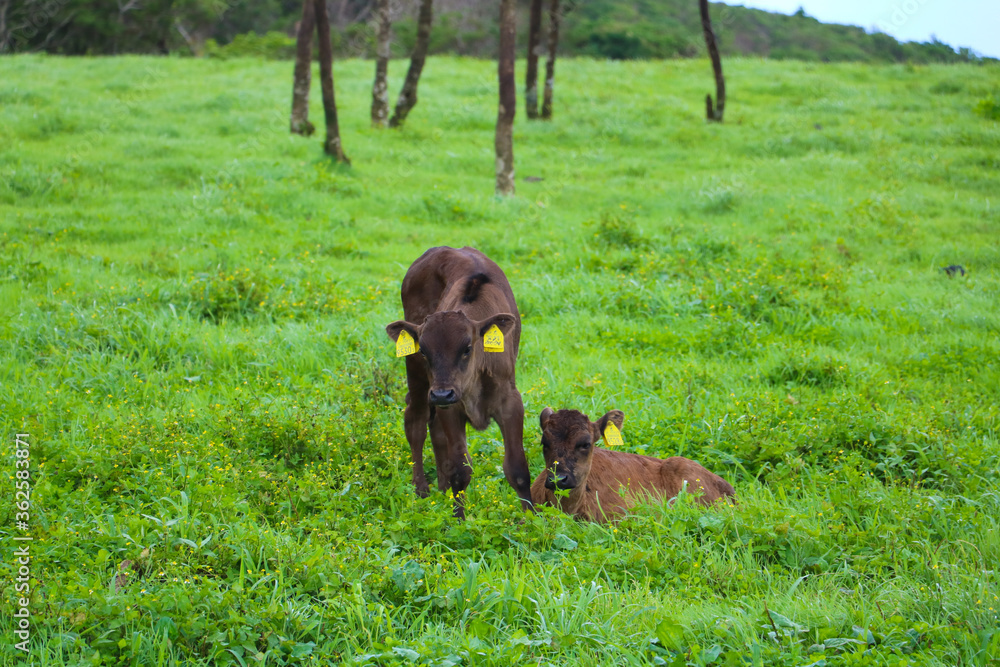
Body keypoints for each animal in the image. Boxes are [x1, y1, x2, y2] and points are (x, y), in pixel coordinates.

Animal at [385, 246, 533, 519]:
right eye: (425, 351)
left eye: (467, 348)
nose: (442, 394)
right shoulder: (451, 406)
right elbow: (460, 469)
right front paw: (459, 520)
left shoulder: (510, 403)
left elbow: (517, 469)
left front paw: (532, 520)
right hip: (419, 379)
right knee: (416, 422)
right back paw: (421, 490)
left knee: (434, 430)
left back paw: (442, 488)